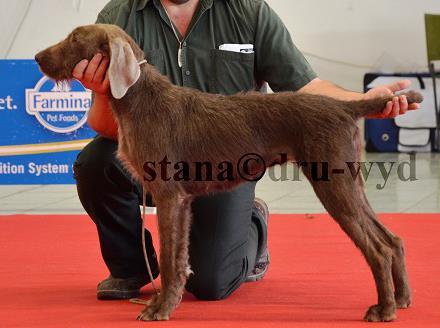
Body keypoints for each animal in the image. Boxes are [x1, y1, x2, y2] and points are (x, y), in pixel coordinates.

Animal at [37, 24, 422, 322]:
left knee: (378, 248)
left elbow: (168, 256)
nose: (38, 57)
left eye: (74, 38)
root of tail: (345, 107)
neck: (138, 99)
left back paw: (384, 310)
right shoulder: (181, 201)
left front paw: (159, 309)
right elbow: (179, 257)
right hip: (349, 183)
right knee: (393, 239)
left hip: (334, 182)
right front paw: (168, 300)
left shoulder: (168, 194)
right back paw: (402, 299)